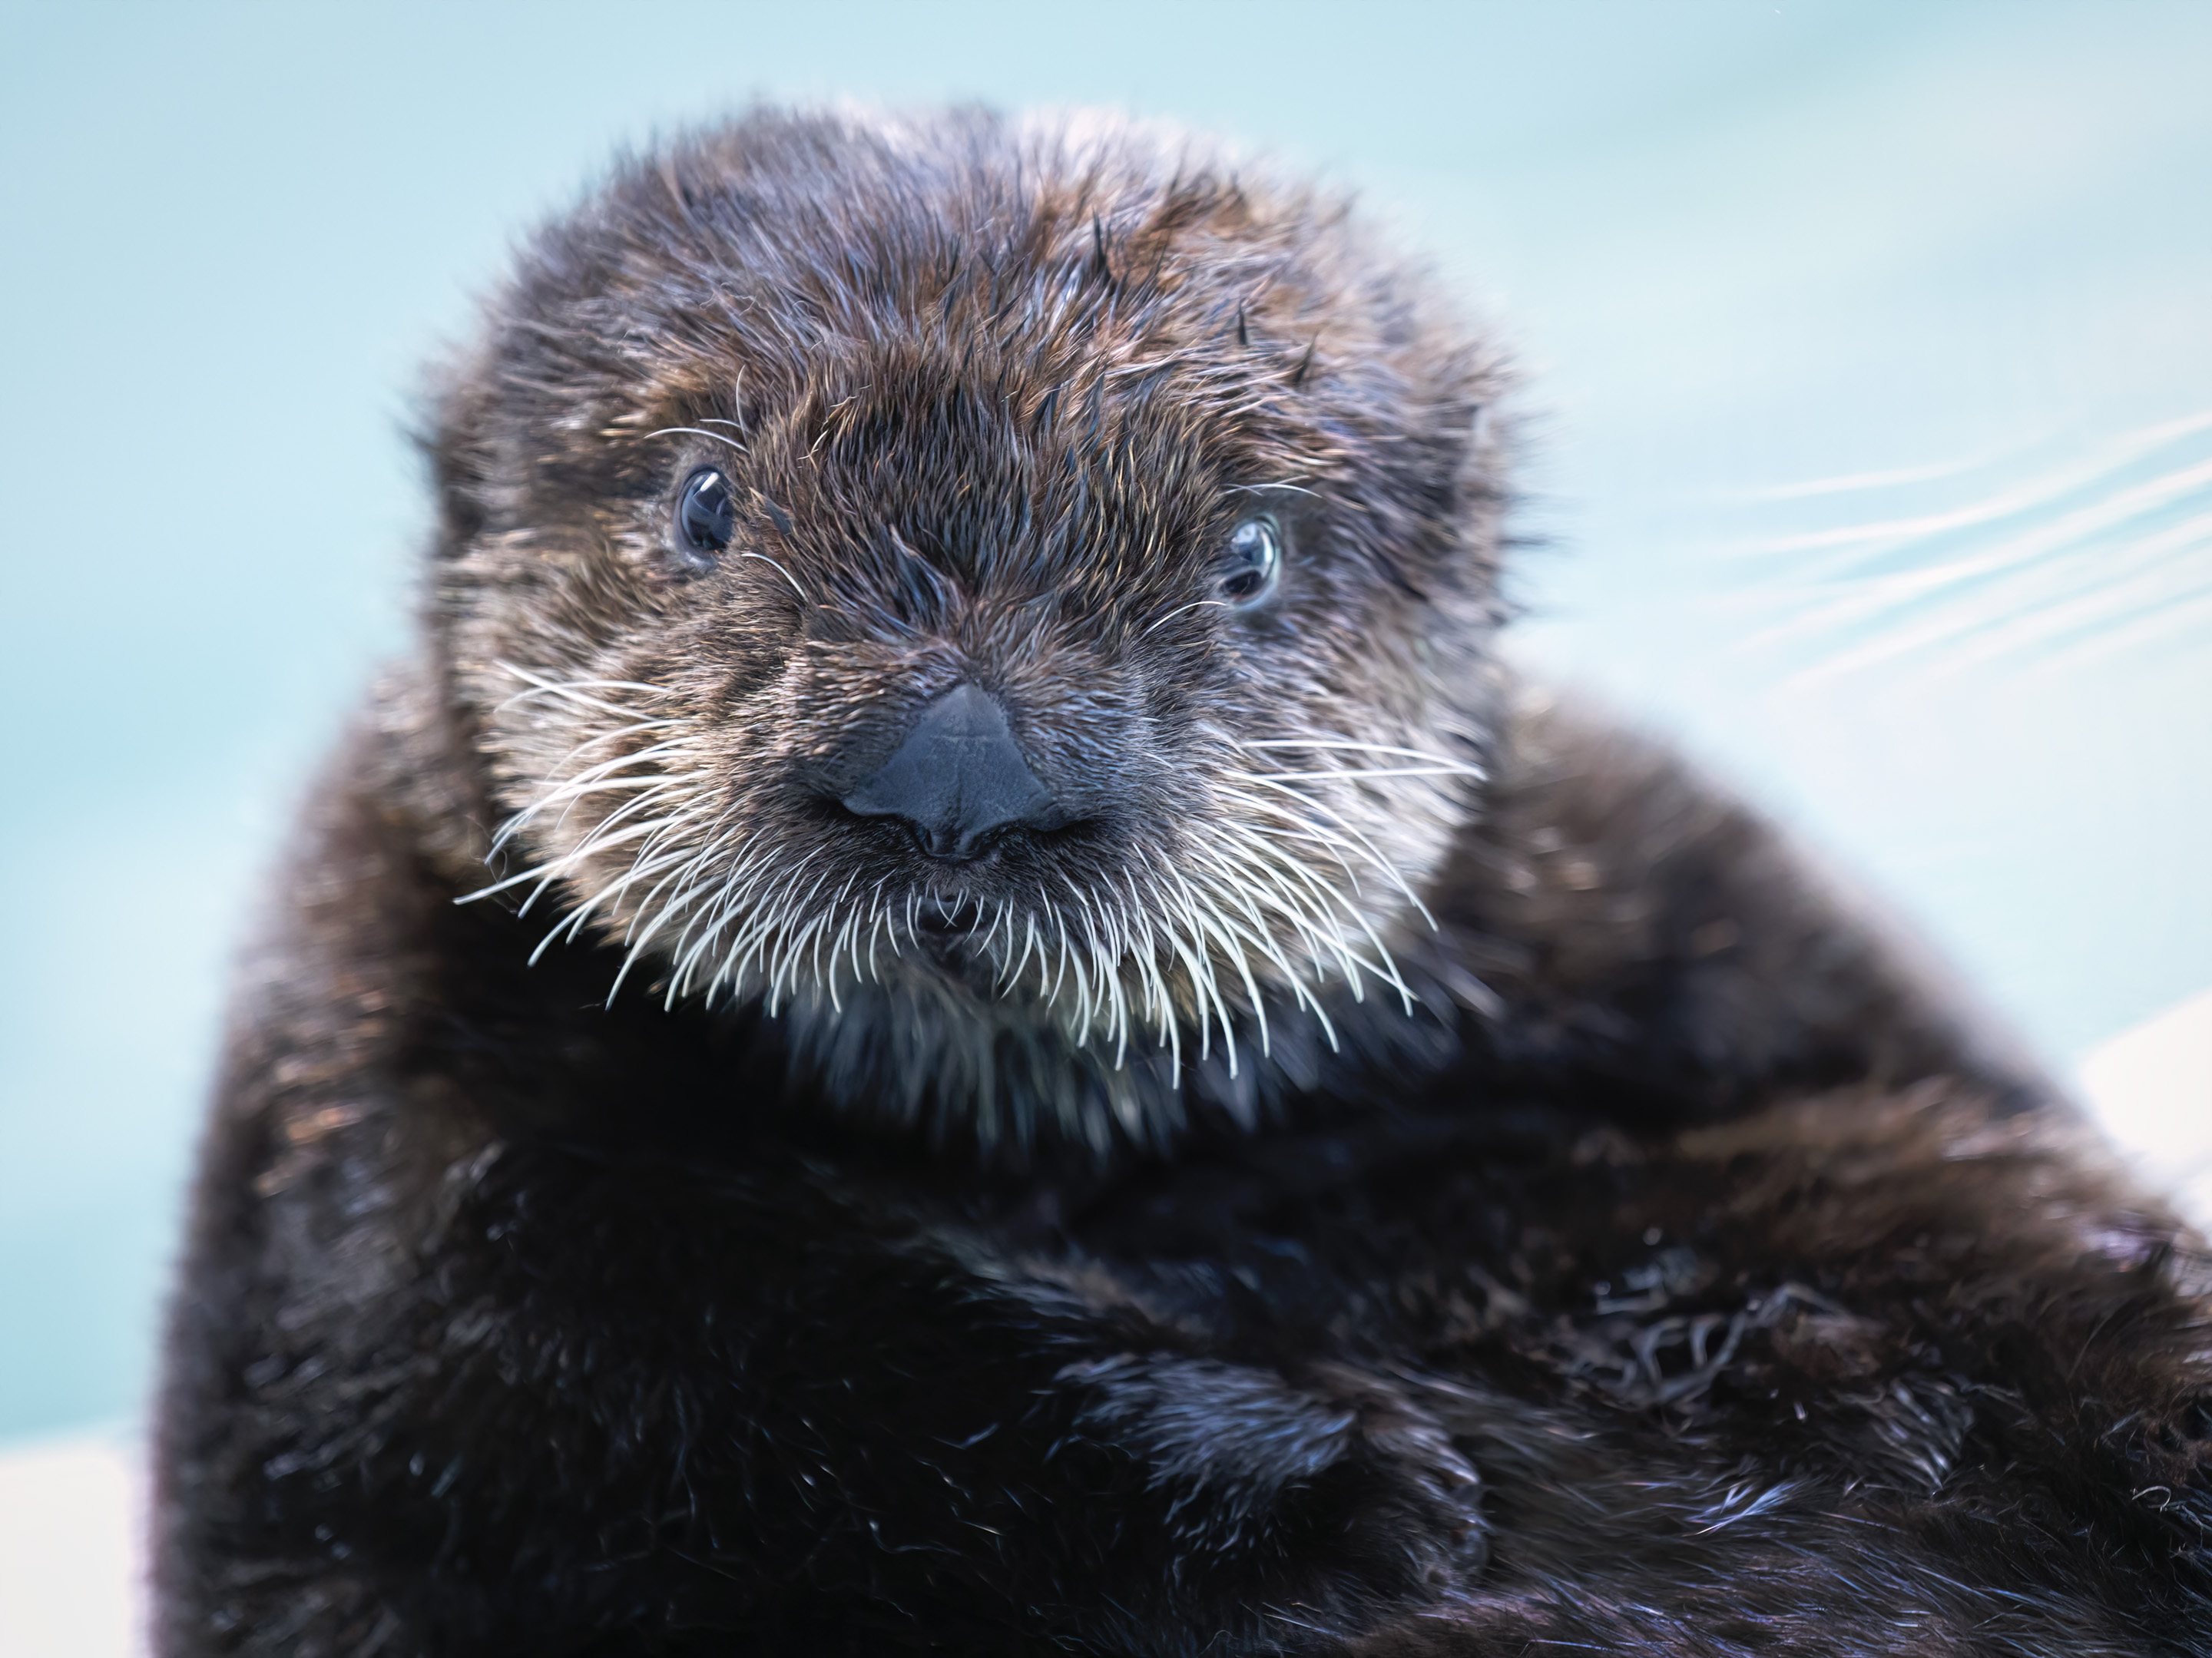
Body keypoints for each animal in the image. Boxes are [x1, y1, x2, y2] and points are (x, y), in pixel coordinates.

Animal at [155, 108, 2212, 1656]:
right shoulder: (381, 1126)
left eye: (1248, 554)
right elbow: (714, 1347)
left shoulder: (1695, 921)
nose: (956, 772)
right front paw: (1340, 1473)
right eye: (703, 506)